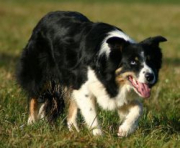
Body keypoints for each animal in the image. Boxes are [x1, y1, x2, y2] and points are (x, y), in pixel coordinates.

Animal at [16, 11, 166, 137]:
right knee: (33, 96)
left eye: (151, 61)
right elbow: (91, 114)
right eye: (133, 62)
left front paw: (125, 129)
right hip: (38, 73)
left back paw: (74, 131)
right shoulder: (84, 87)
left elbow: (138, 108)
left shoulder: (114, 93)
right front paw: (99, 136)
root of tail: (46, 17)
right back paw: (31, 123)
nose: (150, 77)